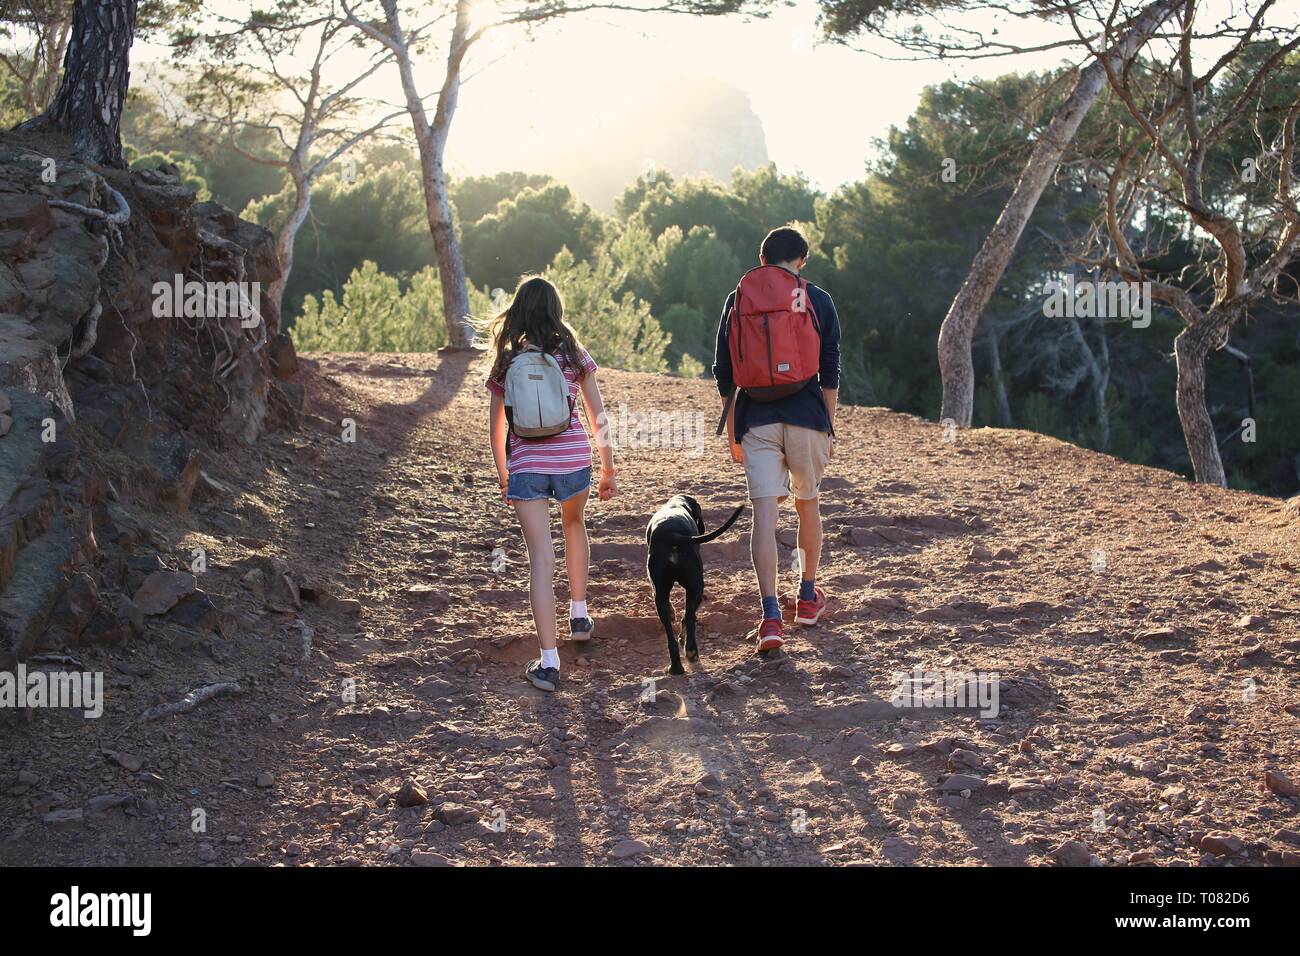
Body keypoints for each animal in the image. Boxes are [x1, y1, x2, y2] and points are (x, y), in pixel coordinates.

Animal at [644, 496, 748, 676]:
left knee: (673, 632)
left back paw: (677, 666)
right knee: (689, 617)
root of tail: (673, 535)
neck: (677, 503)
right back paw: (691, 652)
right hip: (696, 588)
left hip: (667, 593)